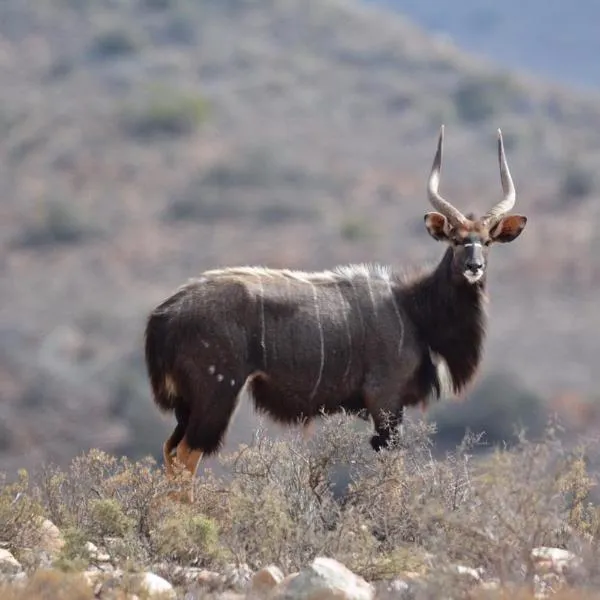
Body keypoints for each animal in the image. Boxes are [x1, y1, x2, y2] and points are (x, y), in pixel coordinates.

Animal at [144, 125, 524, 482]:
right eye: (456, 240)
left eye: (487, 241)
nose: (474, 267)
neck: (414, 309)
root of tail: (163, 315)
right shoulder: (385, 399)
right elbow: (393, 473)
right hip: (217, 392)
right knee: (186, 456)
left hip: (189, 403)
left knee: (170, 450)